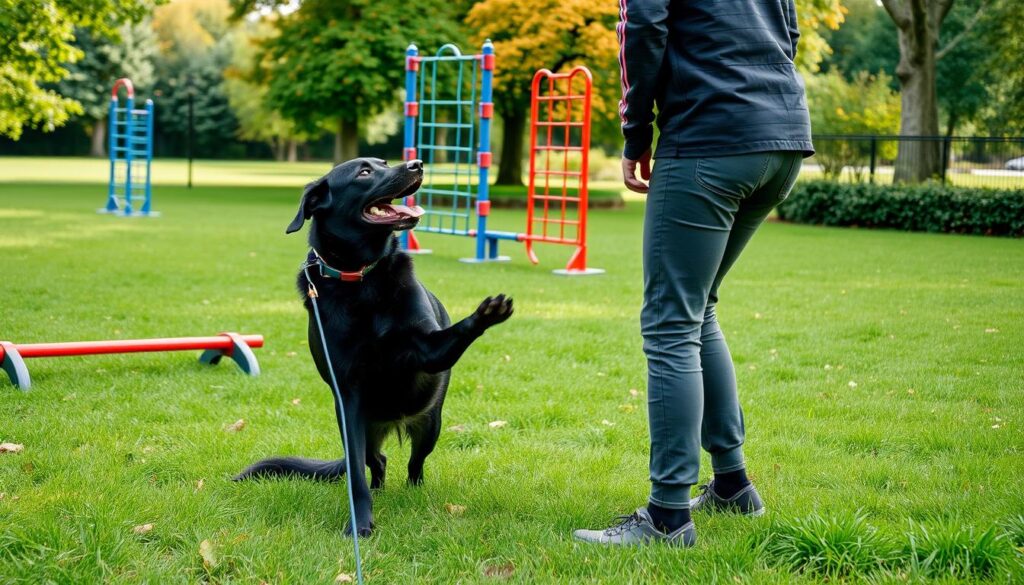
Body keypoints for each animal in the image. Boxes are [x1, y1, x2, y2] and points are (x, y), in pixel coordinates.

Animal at [236, 158, 516, 536]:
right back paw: (380, 490)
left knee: (415, 463)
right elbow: (356, 476)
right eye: (364, 172)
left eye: (384, 162)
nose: (418, 163)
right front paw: (360, 524)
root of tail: (390, 423)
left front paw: (488, 312)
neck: (361, 277)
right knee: (377, 461)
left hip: (430, 425)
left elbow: (455, 333)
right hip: (360, 430)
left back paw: (414, 491)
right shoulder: (348, 397)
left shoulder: (429, 350)